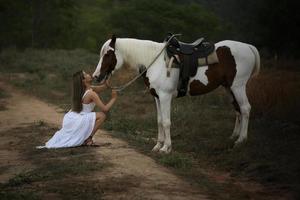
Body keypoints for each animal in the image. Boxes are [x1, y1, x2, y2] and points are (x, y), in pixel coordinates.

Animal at [92, 34, 258, 153]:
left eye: (108, 54)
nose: (96, 76)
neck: (155, 61)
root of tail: (249, 47)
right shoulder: (157, 97)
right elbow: (159, 120)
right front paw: (158, 146)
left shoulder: (165, 97)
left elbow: (166, 122)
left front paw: (166, 148)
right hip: (229, 87)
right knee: (237, 110)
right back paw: (233, 137)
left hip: (238, 86)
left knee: (245, 109)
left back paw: (240, 141)